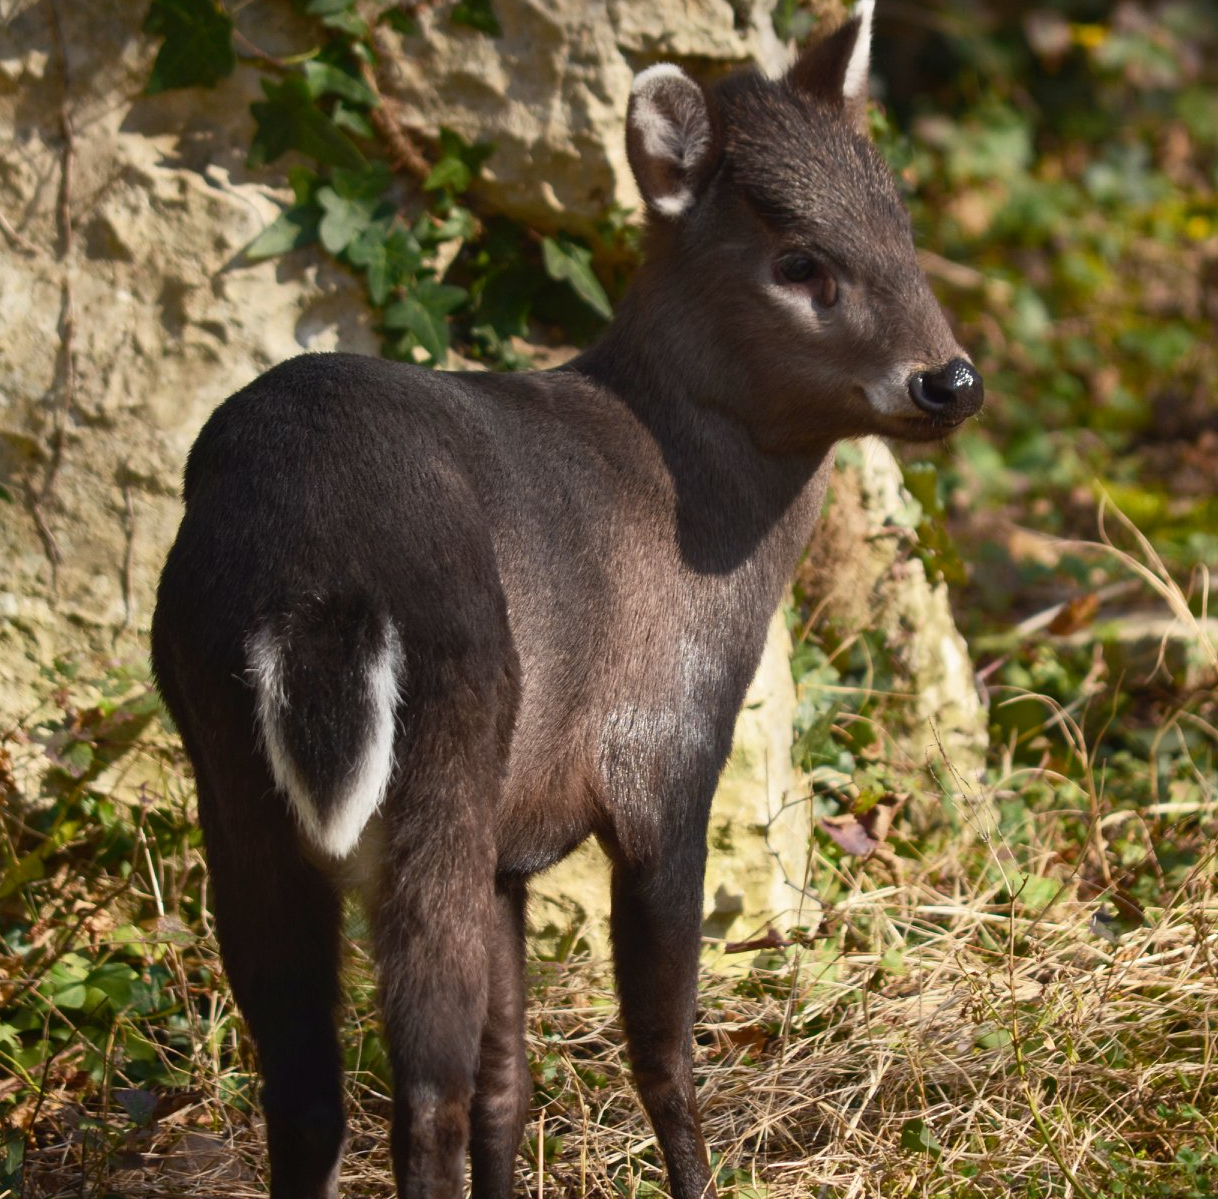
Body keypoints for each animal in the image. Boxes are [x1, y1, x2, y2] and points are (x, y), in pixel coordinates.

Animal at [150, 2, 983, 1196]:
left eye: (900, 221)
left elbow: (514, 1078)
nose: (948, 380)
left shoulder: (514, 845)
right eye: (800, 260)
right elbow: (662, 1050)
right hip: (446, 747)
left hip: (227, 764)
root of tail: (305, 573)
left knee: (312, 1088)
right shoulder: (663, 761)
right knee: (423, 1090)